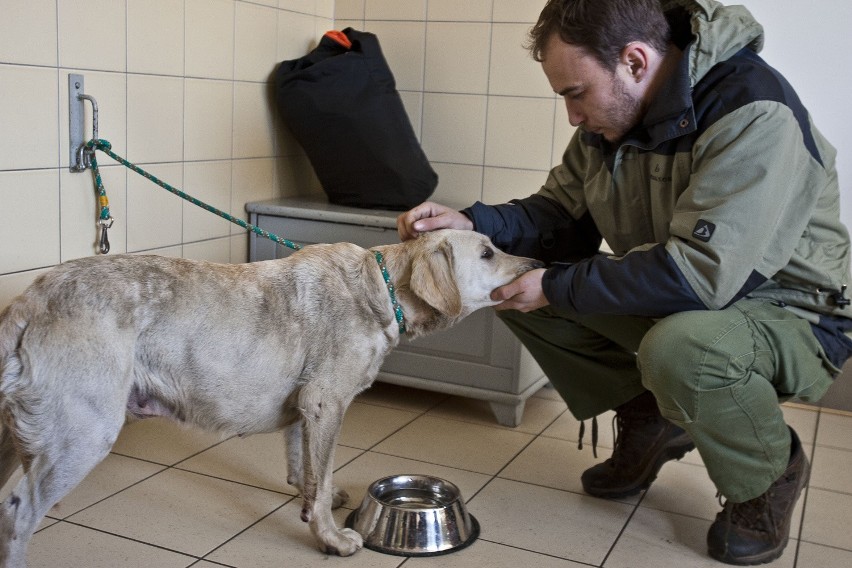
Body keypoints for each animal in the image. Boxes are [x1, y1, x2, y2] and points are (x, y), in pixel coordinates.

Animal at [0, 229, 544, 564]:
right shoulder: (326, 401)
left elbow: (308, 470)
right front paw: (331, 537)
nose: (539, 262)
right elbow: (318, 479)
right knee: (19, 509)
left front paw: (312, 499)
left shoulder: (305, 409)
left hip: (20, 434)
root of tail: (30, 300)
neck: (381, 288)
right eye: (488, 252)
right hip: (83, 433)